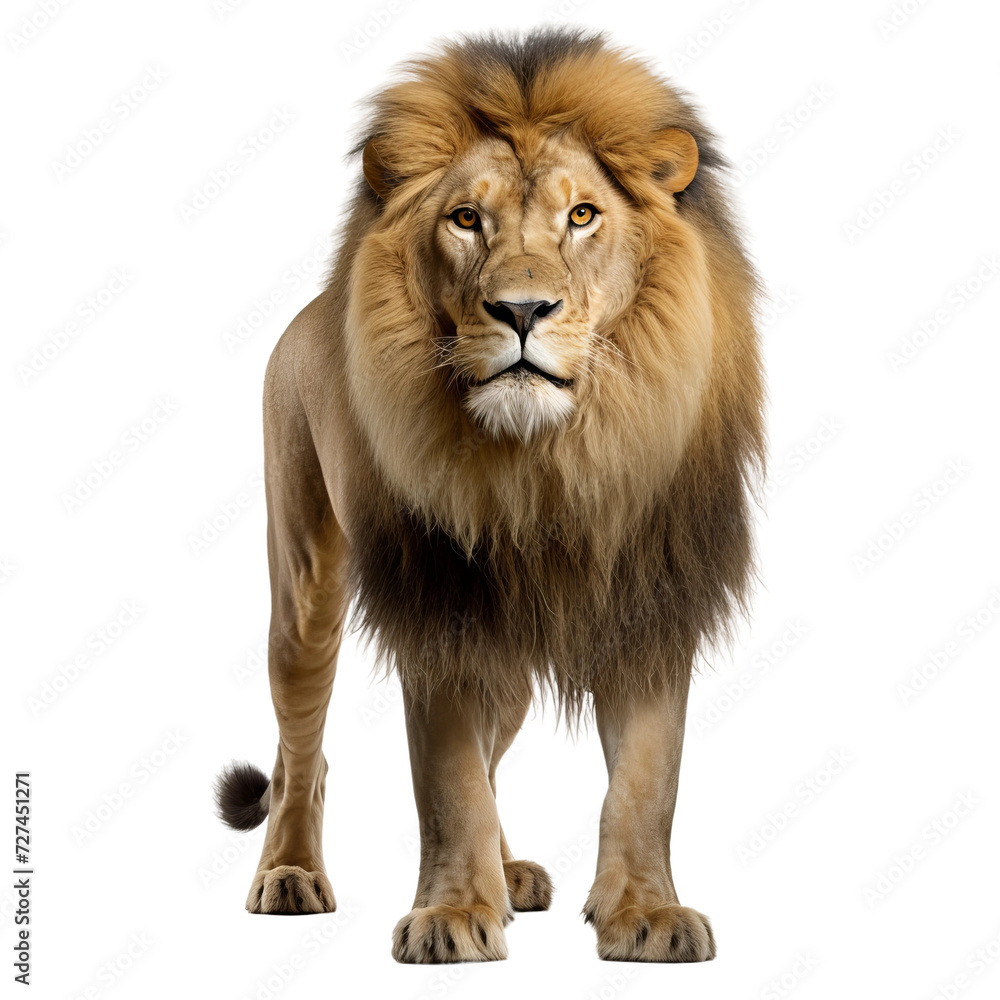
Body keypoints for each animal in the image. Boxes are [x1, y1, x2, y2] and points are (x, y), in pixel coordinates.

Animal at [214, 27, 765, 964]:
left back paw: (510, 875)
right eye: (466, 219)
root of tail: (312, 309)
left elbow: (645, 782)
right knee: (301, 753)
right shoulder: (440, 607)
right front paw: (451, 916)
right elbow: (449, 783)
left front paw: (645, 914)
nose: (522, 309)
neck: (547, 464)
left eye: (582, 216)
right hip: (306, 589)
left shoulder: (652, 598)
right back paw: (288, 874)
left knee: (493, 753)